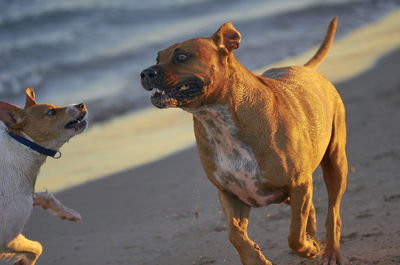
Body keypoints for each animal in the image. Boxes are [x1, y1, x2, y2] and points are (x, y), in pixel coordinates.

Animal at [141, 17, 346, 262]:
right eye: (157, 58)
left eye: (181, 56)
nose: (145, 73)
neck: (216, 120)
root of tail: (304, 68)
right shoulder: (231, 194)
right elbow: (235, 234)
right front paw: (256, 258)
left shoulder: (299, 183)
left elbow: (294, 234)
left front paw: (307, 247)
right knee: (311, 210)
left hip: (335, 163)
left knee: (332, 211)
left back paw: (330, 250)